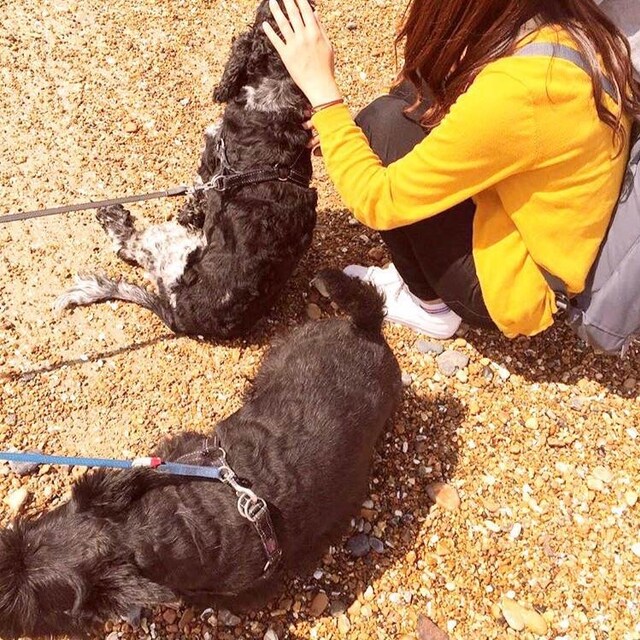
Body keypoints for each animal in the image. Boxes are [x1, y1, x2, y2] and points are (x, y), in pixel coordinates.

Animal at [54, 0, 317, 338]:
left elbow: (195, 193)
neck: (278, 89)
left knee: (127, 245)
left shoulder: (210, 161)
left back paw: (112, 216)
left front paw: (188, 212)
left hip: (167, 245)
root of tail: (180, 319)